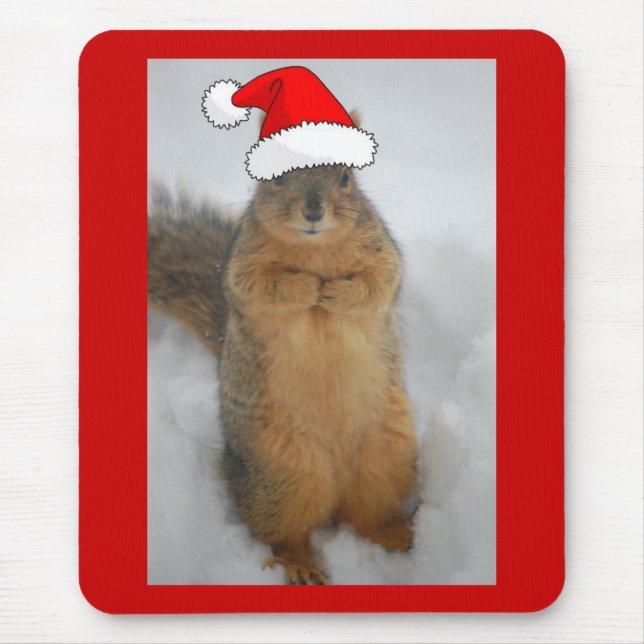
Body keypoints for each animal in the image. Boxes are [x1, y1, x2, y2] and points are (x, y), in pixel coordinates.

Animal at [148, 127, 418, 585]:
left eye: (345, 176)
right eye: (274, 177)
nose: (313, 210)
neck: (314, 249)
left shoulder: (381, 250)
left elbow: (379, 282)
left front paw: (336, 293)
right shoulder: (242, 266)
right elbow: (260, 286)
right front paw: (307, 288)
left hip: (388, 457)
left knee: (366, 516)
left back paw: (397, 534)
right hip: (282, 474)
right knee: (283, 532)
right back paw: (300, 565)